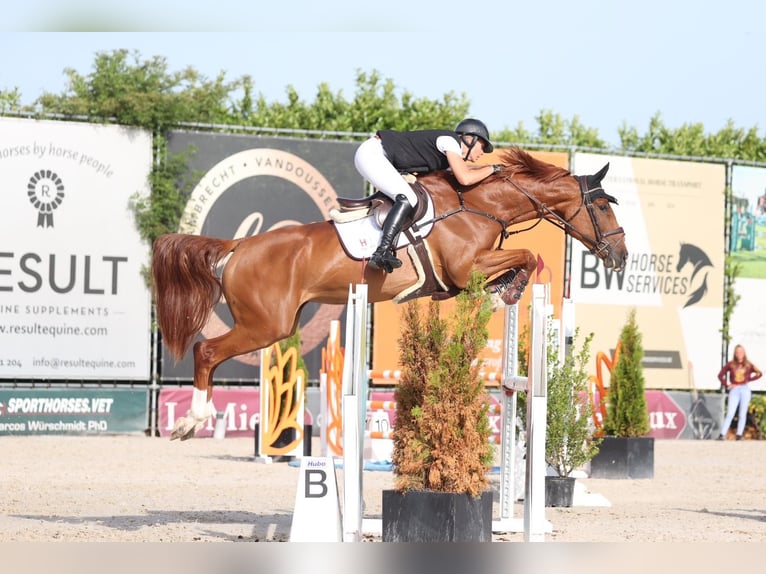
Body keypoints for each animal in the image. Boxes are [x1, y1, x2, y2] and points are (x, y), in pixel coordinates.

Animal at [153, 147, 628, 440]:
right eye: (603, 206)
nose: (621, 256)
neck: (479, 205)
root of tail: (238, 246)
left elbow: (520, 258)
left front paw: (502, 289)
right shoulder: (465, 268)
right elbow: (527, 255)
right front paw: (504, 294)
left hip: (273, 324)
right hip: (265, 325)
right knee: (206, 352)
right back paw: (192, 421)